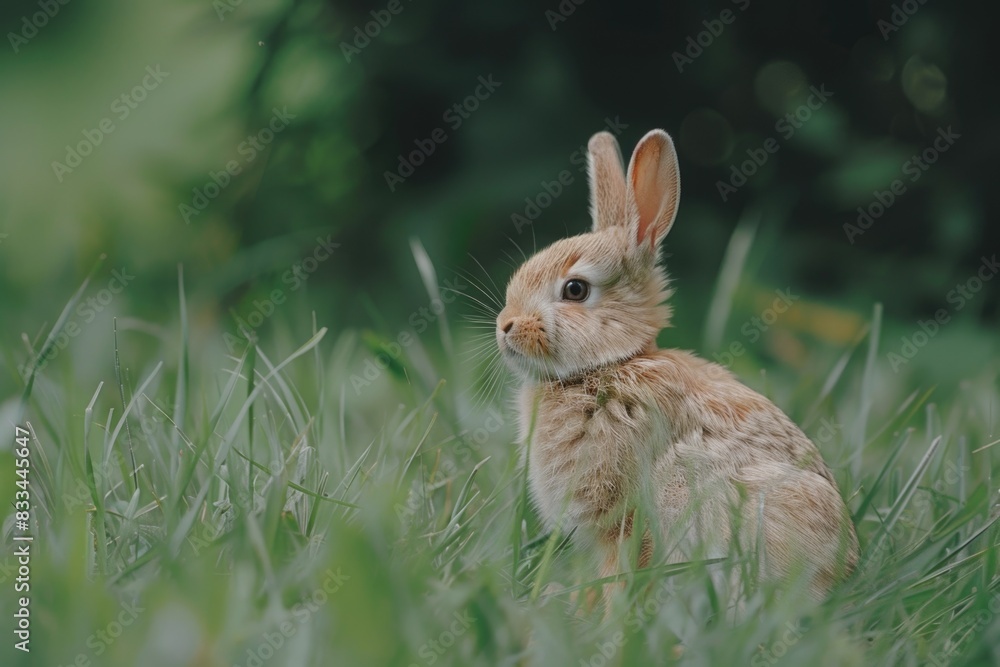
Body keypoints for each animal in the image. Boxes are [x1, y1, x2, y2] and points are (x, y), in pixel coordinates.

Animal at [495, 129, 858, 608]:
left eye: (575, 290)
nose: (505, 326)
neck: (610, 365)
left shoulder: (621, 519)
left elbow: (618, 571)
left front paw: (601, 617)